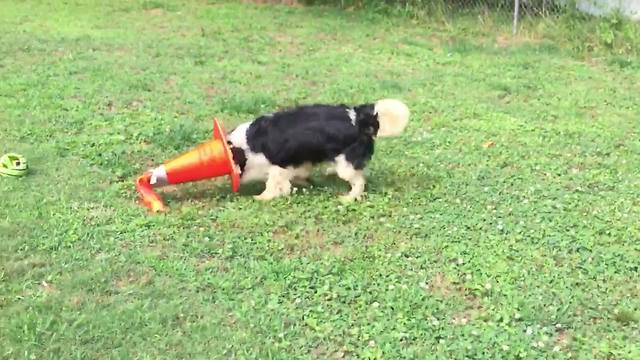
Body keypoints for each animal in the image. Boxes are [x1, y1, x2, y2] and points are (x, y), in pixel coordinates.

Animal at [228, 98, 412, 201]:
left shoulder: (278, 164)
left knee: (359, 181)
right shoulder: (297, 160)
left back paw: (349, 198)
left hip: (346, 165)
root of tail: (359, 119)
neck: (247, 144)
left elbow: (272, 183)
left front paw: (263, 197)